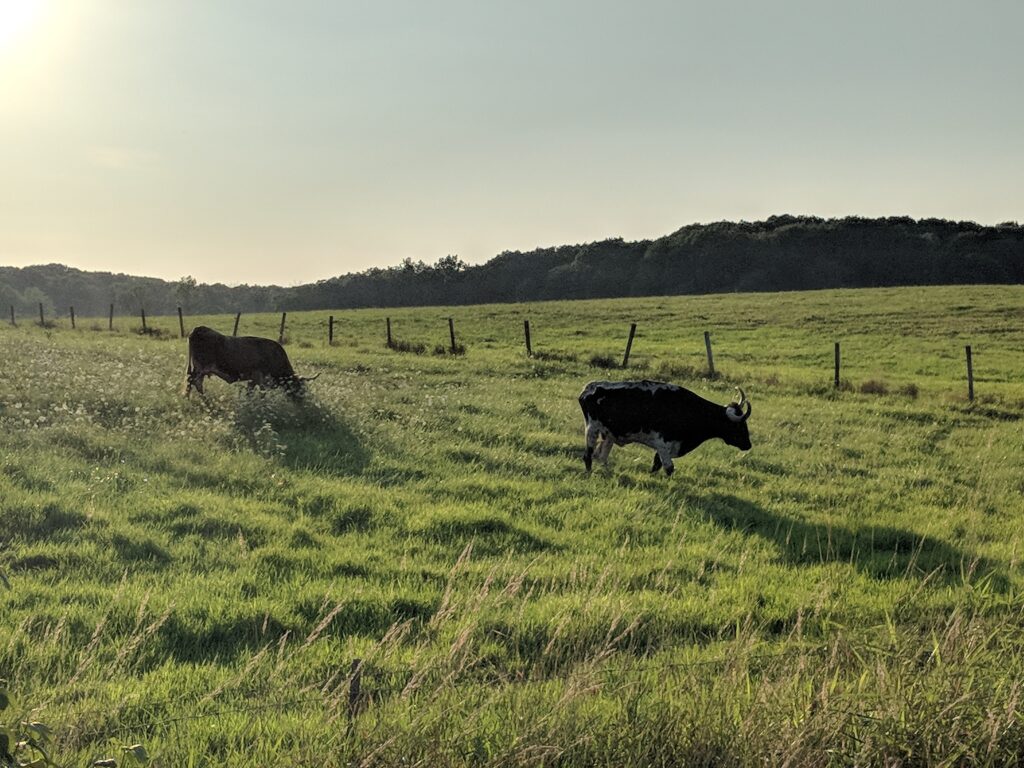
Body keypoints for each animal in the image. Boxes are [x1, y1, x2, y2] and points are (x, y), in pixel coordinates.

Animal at [184, 325, 317, 399]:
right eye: (298, 386)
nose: (302, 402)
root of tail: (198, 329)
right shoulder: (260, 378)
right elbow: (262, 394)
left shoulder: (253, 380)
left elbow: (250, 392)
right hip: (200, 368)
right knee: (193, 382)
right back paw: (192, 398)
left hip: (199, 370)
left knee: (195, 383)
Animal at [577, 382, 753, 479]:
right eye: (739, 425)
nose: (748, 445)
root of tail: (588, 388)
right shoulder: (662, 443)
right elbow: (668, 468)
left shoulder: (666, 447)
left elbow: (656, 464)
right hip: (592, 429)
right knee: (588, 455)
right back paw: (589, 473)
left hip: (609, 435)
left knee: (602, 457)